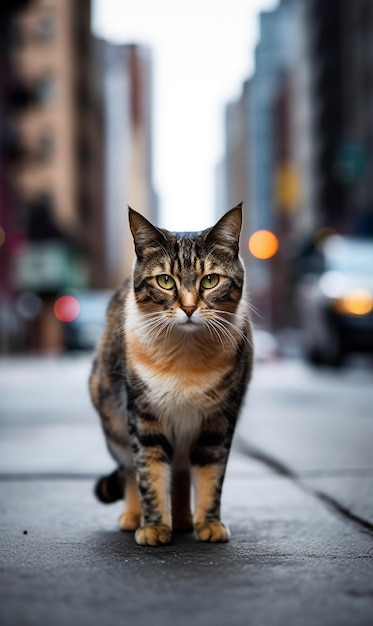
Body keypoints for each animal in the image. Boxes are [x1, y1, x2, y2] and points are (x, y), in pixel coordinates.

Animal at [89, 202, 253, 544]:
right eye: (165, 281)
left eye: (210, 280)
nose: (189, 308)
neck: (185, 359)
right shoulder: (143, 416)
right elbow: (149, 474)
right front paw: (153, 526)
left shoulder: (219, 419)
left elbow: (210, 473)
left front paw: (209, 522)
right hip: (114, 423)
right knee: (131, 470)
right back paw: (134, 517)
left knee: (179, 473)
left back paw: (183, 521)